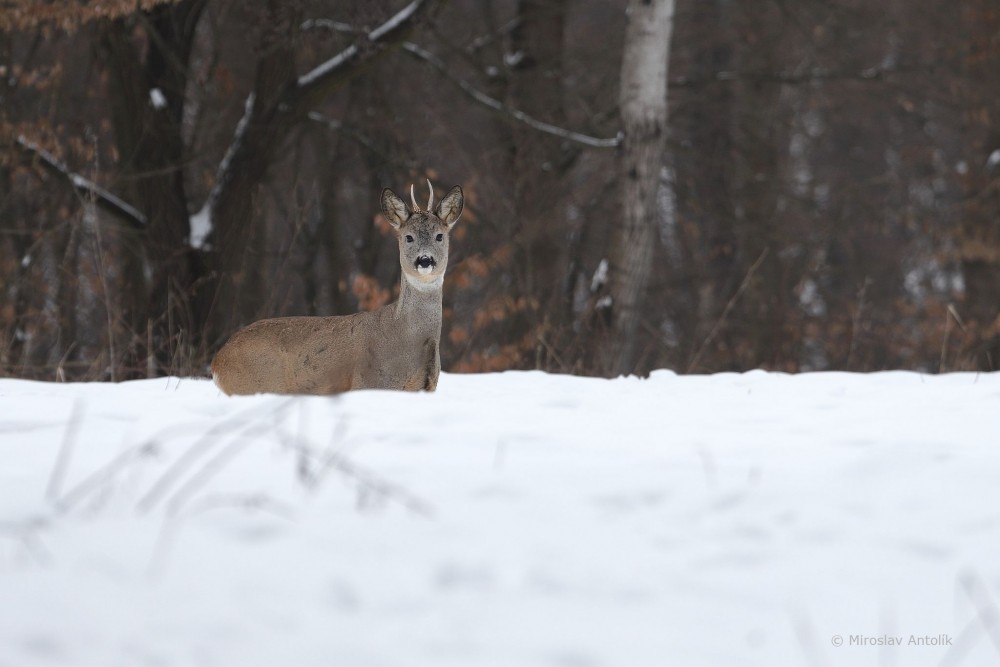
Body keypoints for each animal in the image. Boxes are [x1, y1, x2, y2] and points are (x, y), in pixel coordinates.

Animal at [210, 180, 464, 394]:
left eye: (439, 236)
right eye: (408, 237)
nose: (425, 260)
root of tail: (217, 363)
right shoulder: (367, 382)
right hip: (255, 384)